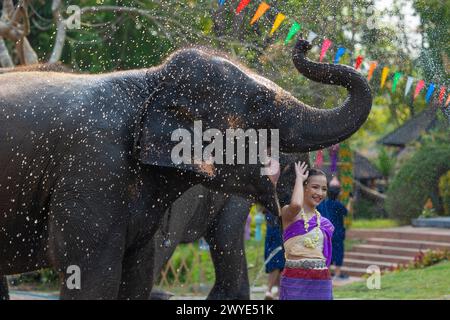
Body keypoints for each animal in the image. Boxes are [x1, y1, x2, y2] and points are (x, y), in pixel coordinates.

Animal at [0, 38, 372, 298]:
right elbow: (93, 276)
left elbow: (137, 275)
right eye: (256, 105)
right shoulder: (93, 169)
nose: (304, 44)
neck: (149, 81)